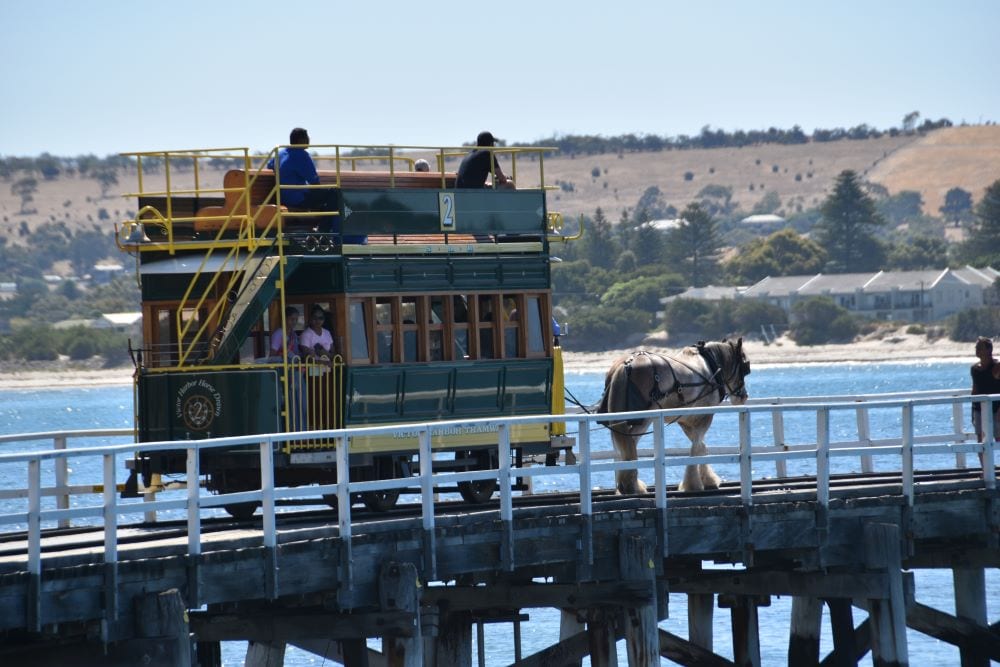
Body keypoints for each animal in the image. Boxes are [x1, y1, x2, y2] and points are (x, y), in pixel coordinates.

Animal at [596, 342, 748, 494]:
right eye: (745, 367)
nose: (744, 396)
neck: (711, 367)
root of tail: (626, 365)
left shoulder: (685, 420)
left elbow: (701, 446)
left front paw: (707, 479)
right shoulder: (705, 416)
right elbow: (697, 447)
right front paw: (693, 484)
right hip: (645, 418)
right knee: (630, 442)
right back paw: (631, 485)